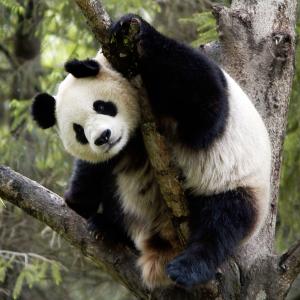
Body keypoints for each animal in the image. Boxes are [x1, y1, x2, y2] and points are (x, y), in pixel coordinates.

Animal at [31, 14, 272, 290]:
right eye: (79, 132)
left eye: (101, 106)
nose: (103, 138)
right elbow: (90, 177)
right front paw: (77, 199)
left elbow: (205, 107)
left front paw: (131, 28)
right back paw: (108, 228)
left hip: (237, 184)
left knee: (223, 222)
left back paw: (188, 268)